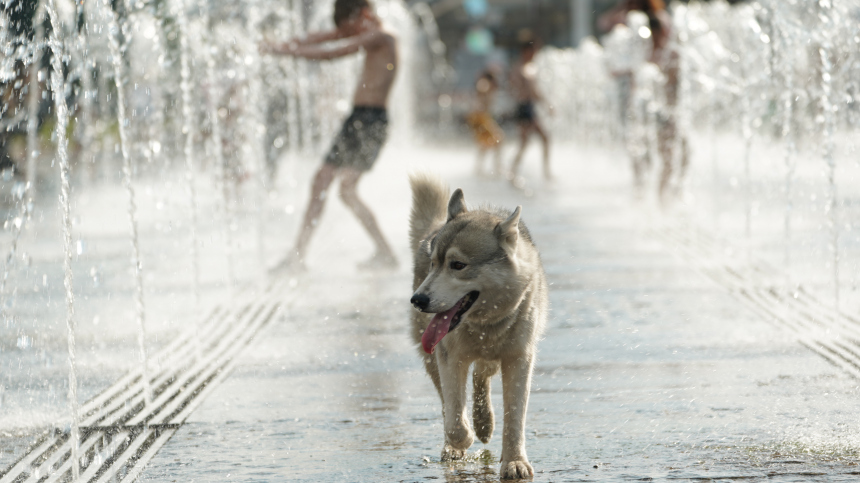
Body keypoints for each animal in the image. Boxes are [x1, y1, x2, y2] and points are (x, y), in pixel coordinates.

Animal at [408, 175, 544, 480]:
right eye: (434, 264)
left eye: (458, 265)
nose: (418, 300)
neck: (486, 323)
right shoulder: (450, 357)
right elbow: (455, 421)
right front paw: (462, 440)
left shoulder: (519, 358)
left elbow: (515, 417)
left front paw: (514, 461)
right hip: (431, 357)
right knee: (450, 402)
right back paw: (463, 439)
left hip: (493, 358)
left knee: (482, 375)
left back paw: (484, 423)